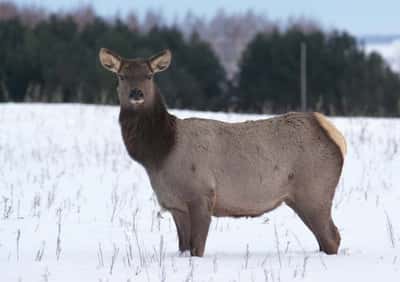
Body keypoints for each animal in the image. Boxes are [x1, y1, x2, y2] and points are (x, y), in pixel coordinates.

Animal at [98, 48, 346, 256]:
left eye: (149, 76)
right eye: (121, 76)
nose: (136, 93)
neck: (160, 153)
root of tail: (334, 134)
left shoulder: (202, 193)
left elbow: (197, 248)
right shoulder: (175, 203)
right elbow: (183, 247)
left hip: (314, 191)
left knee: (332, 237)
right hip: (300, 197)